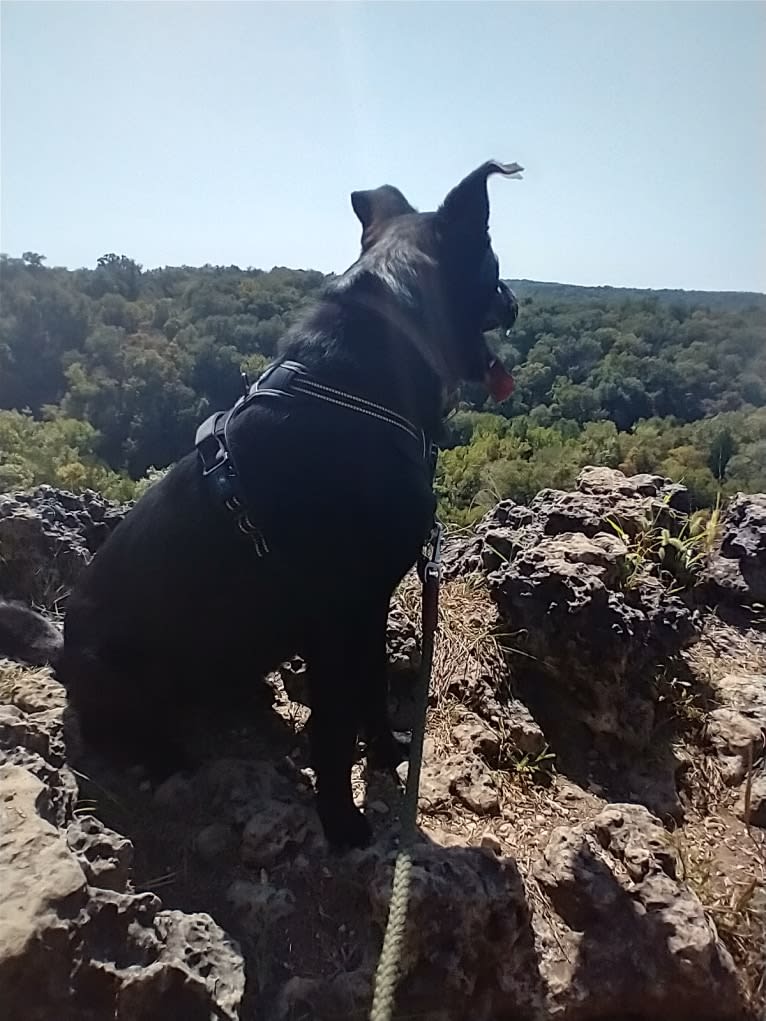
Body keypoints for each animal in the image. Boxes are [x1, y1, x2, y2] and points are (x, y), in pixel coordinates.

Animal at [0, 159, 522, 845]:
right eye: (492, 261)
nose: (517, 299)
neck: (357, 386)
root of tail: (61, 649)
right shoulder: (337, 615)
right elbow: (335, 729)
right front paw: (342, 821)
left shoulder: (370, 604)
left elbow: (373, 690)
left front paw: (386, 754)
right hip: (130, 678)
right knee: (128, 732)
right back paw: (167, 759)